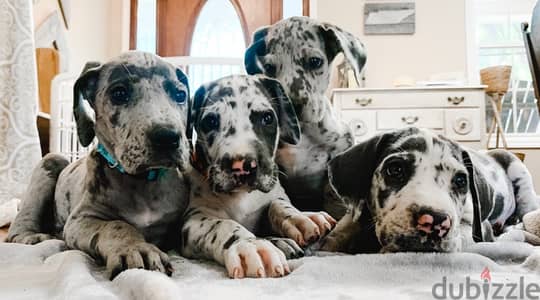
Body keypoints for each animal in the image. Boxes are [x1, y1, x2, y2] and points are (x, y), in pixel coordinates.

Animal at [7, 51, 192, 278]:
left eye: (180, 95)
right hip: (52, 162)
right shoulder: (80, 220)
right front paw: (136, 248)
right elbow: (115, 225)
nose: (167, 137)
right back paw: (32, 237)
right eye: (119, 93)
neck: (143, 183)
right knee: (17, 229)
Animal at [179, 75, 336, 278]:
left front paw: (299, 218)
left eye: (267, 118)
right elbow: (222, 225)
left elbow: (277, 204)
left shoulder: (274, 195)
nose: (241, 166)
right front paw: (249, 245)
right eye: (210, 121)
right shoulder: (194, 219)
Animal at [245, 17, 368, 218]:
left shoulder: (341, 146)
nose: (291, 106)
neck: (304, 133)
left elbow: (332, 191)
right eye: (269, 67)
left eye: (315, 61)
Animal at [320, 126, 540, 253]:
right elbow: (343, 228)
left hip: (521, 176)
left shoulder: (474, 228)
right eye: (395, 169)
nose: (435, 221)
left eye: (460, 180)